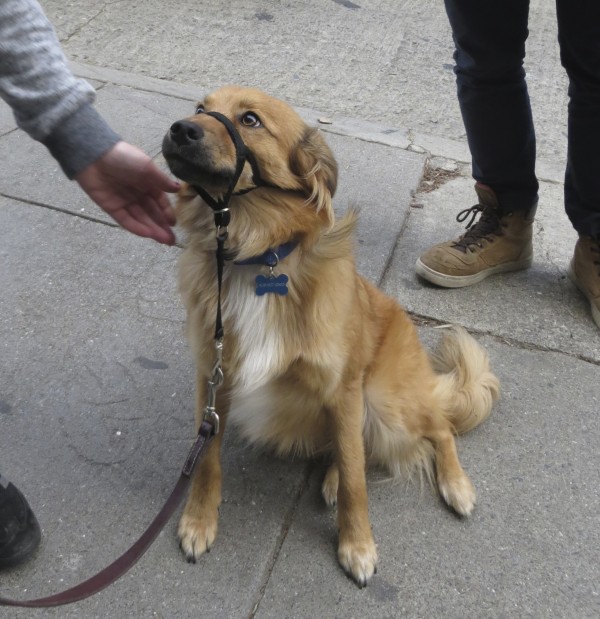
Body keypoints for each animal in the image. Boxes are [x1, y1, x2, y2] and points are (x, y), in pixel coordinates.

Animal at [162, 86, 500, 588]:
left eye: (249, 120)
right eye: (202, 109)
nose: (180, 128)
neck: (256, 258)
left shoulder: (342, 388)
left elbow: (360, 481)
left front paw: (357, 545)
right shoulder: (213, 373)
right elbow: (207, 456)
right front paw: (199, 521)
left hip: (385, 401)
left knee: (435, 428)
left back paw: (455, 485)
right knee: (349, 449)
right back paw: (334, 477)